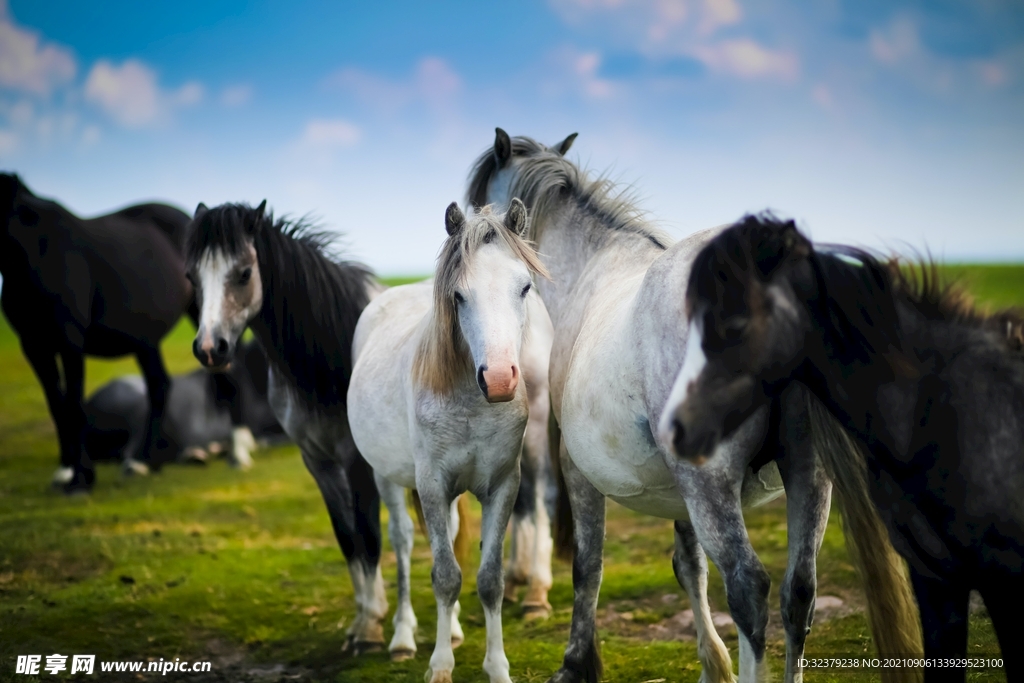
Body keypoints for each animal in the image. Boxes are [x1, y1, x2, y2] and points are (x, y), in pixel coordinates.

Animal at [1, 172, 193, 491]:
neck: (37, 252)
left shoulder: (70, 340)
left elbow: (74, 407)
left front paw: (81, 478)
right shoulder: (34, 345)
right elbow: (57, 407)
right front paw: (66, 470)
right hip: (145, 342)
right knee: (159, 386)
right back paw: (144, 462)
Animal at [346, 198, 552, 683]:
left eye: (525, 287)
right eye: (459, 296)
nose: (499, 380)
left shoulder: (502, 486)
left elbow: (489, 579)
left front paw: (497, 667)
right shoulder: (432, 487)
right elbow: (444, 575)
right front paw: (440, 666)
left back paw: (454, 629)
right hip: (388, 478)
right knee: (403, 543)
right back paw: (402, 637)